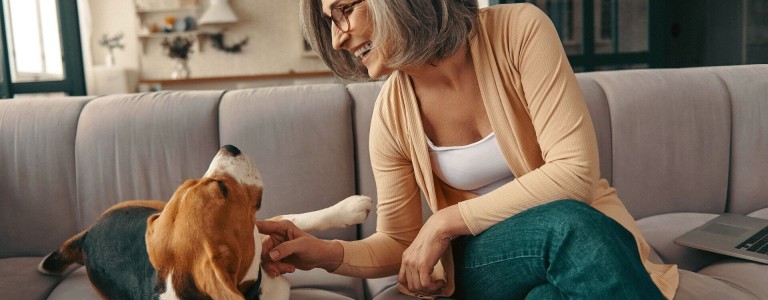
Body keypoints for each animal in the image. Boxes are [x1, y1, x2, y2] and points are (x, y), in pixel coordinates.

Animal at [39, 144, 372, 298]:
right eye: (221, 189)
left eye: (193, 182)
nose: (229, 147)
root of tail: (88, 235)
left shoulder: (261, 233)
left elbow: (293, 218)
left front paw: (349, 207)